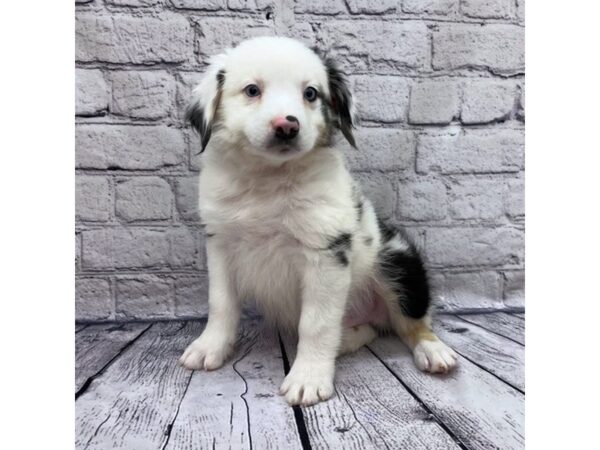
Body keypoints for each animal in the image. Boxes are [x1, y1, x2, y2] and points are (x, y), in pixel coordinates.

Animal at [180, 37, 458, 406]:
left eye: (310, 93)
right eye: (252, 90)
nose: (287, 126)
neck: (269, 180)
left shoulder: (326, 252)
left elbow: (317, 323)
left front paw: (308, 378)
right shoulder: (221, 244)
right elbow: (221, 303)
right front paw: (209, 347)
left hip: (398, 261)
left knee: (412, 320)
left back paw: (433, 351)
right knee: (370, 329)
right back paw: (347, 340)